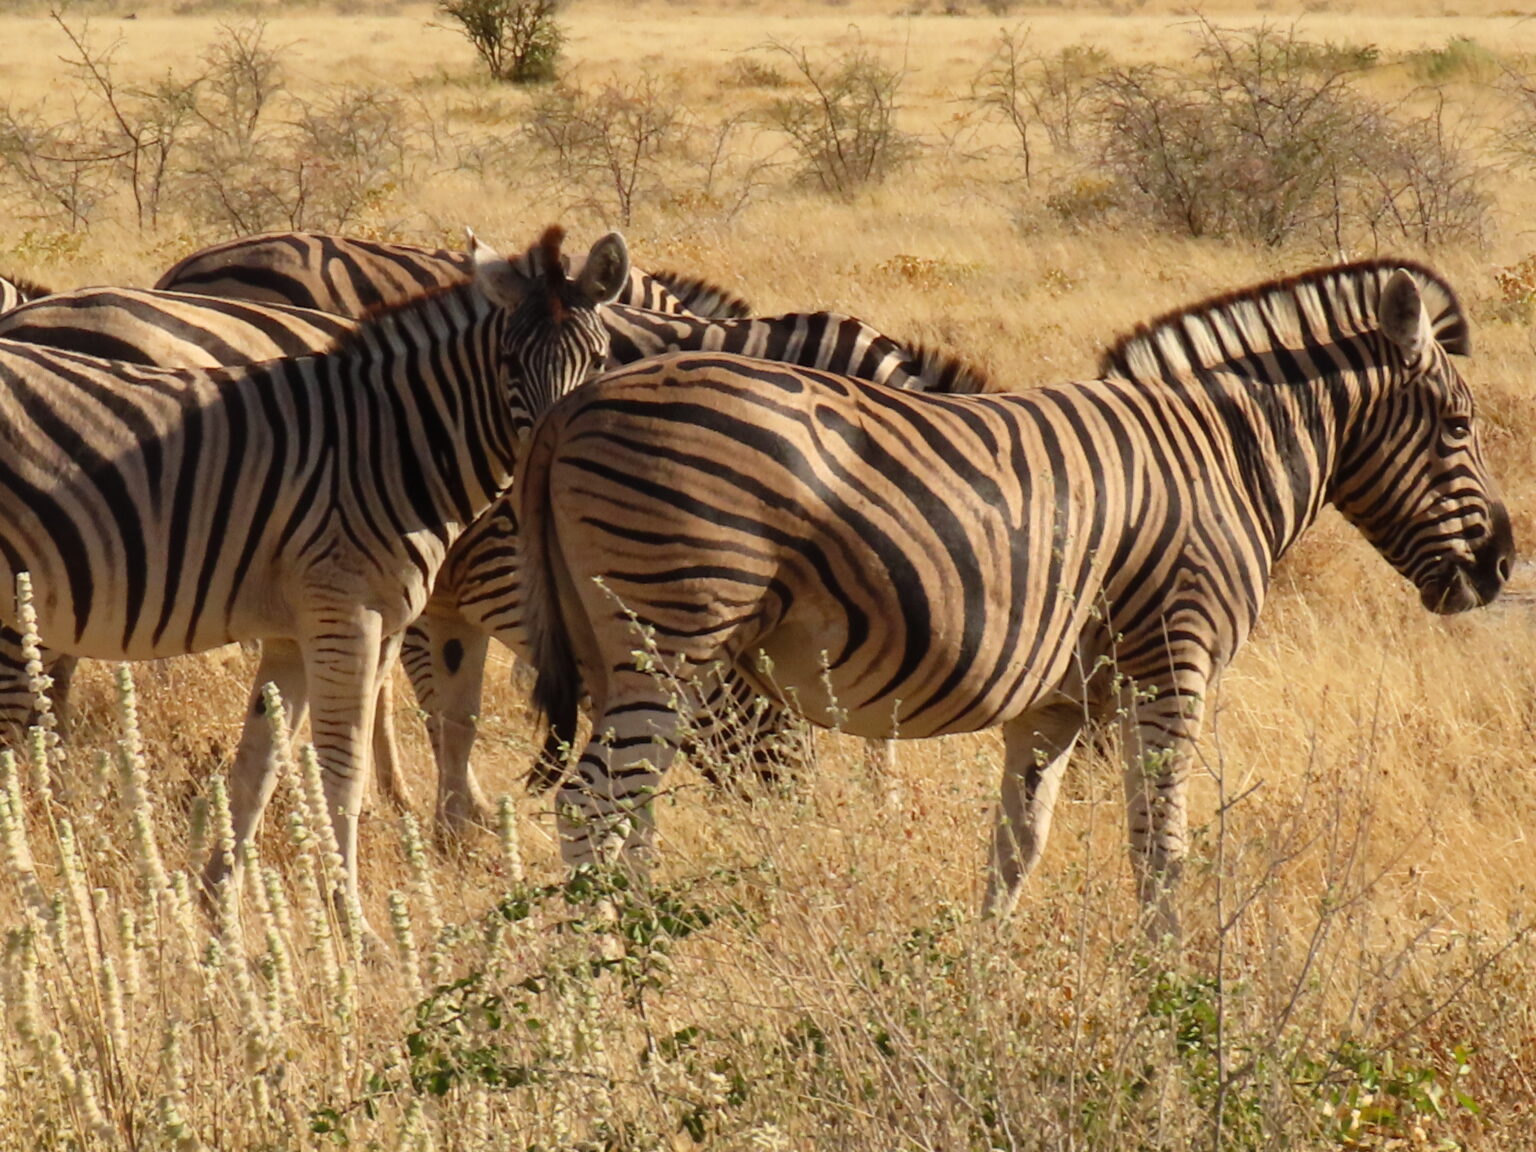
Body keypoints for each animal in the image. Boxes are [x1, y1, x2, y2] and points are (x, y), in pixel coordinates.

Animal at [0, 224, 629, 920]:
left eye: (601, 359)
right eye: (510, 364)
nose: (547, 455)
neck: (392, 447)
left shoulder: (294, 633)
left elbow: (260, 767)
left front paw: (219, 914)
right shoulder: (346, 614)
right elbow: (343, 768)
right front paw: (351, 918)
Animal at [514, 260, 1514, 936]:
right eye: (1459, 425)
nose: (1502, 566)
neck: (1222, 457)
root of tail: (577, 402)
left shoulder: (1055, 701)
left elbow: (1015, 845)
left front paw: (981, 979)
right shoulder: (1171, 663)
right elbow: (1161, 848)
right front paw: (1171, 993)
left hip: (618, 654)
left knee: (632, 813)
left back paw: (640, 956)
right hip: (669, 637)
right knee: (589, 808)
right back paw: (594, 997)